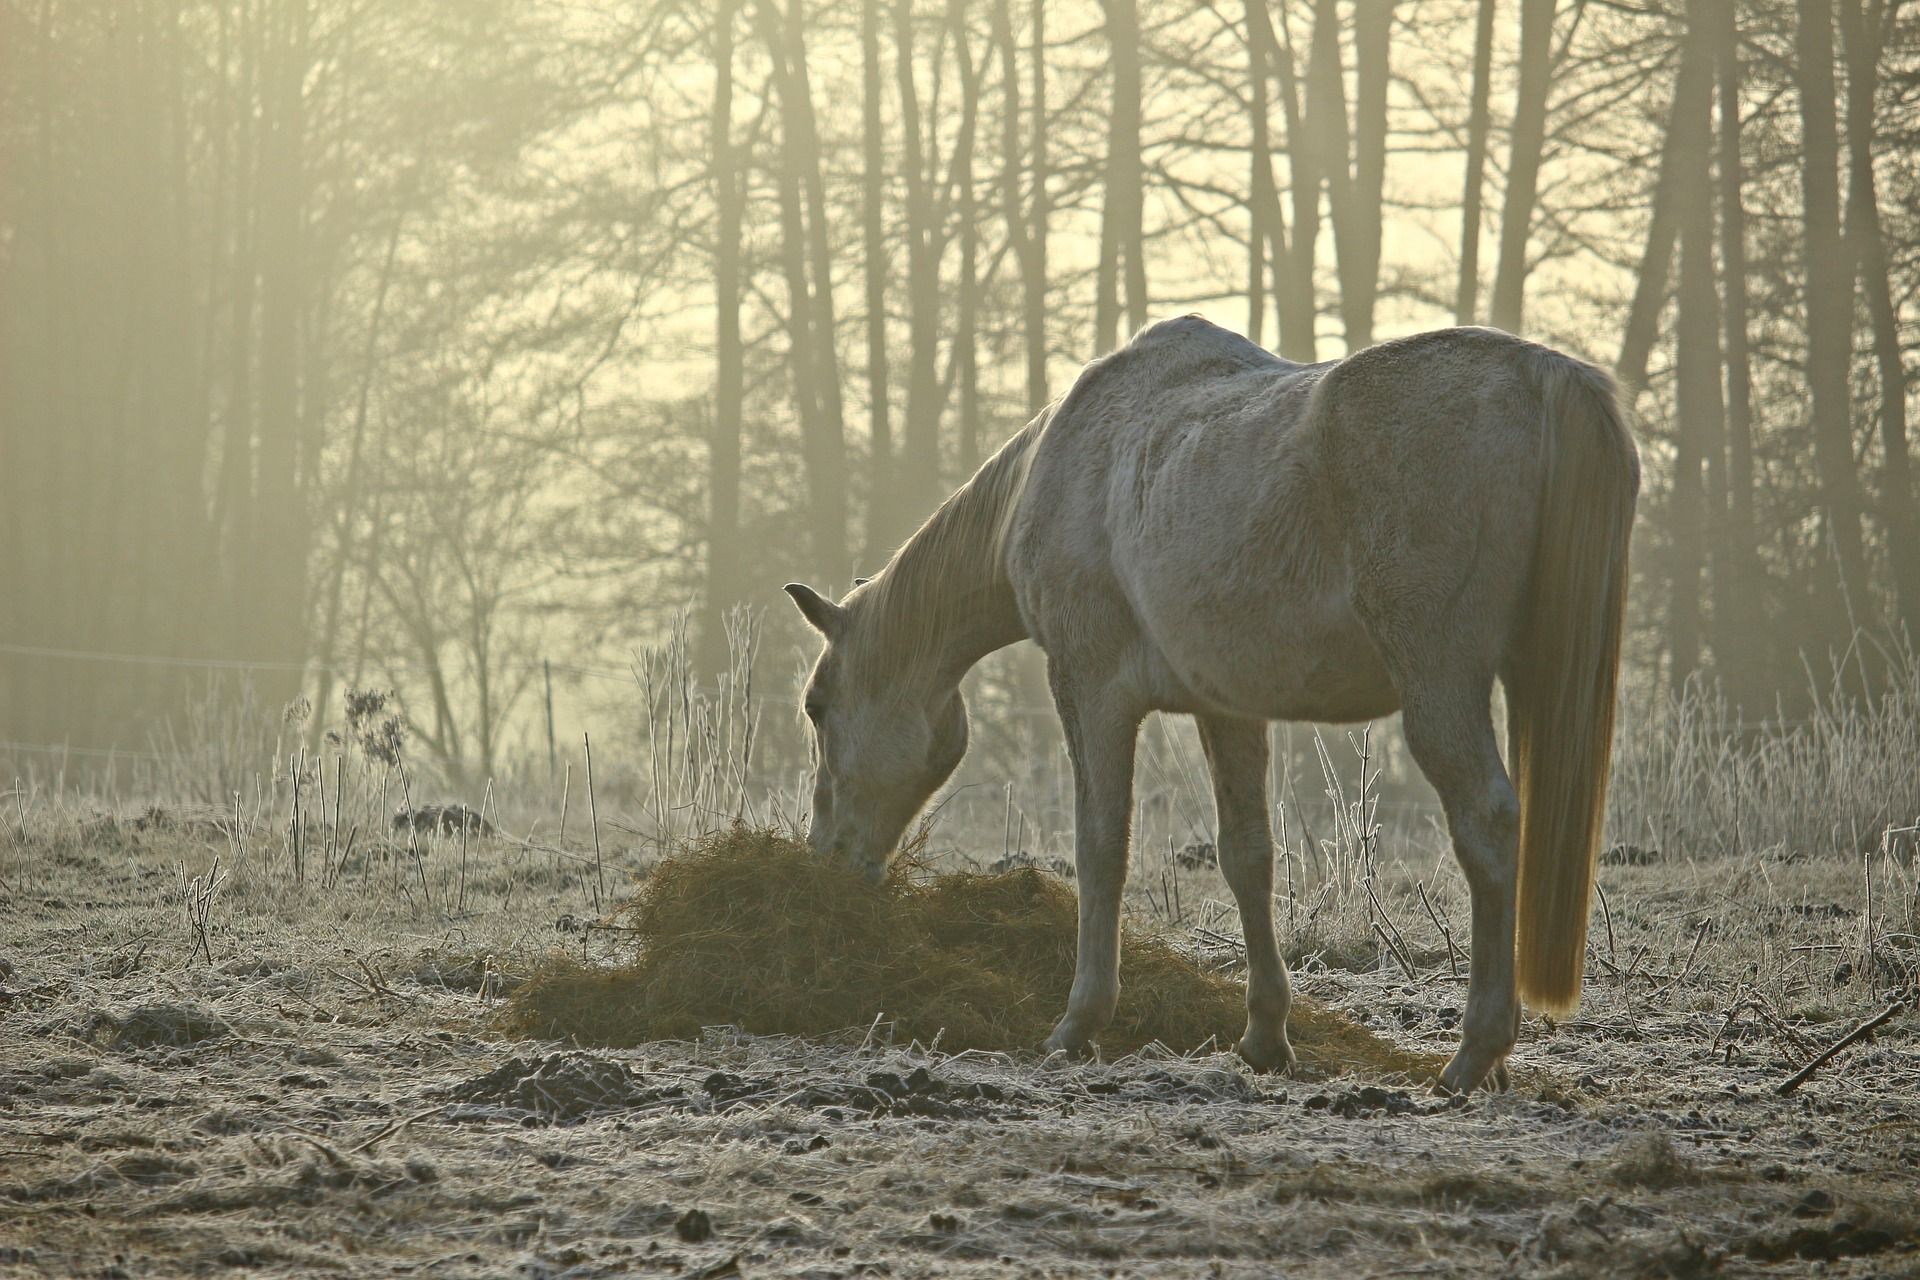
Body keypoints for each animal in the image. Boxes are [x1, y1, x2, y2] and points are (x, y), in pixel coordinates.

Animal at [779, 320, 1635, 1090]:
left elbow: (1101, 847)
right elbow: (1246, 856)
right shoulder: (1227, 706)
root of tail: (1541, 373)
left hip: (1441, 683)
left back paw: (1472, 1056)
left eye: (817, 707)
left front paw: (1078, 1023)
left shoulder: (1090, 688)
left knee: (1487, 824)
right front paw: (1264, 1036)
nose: (826, 858)